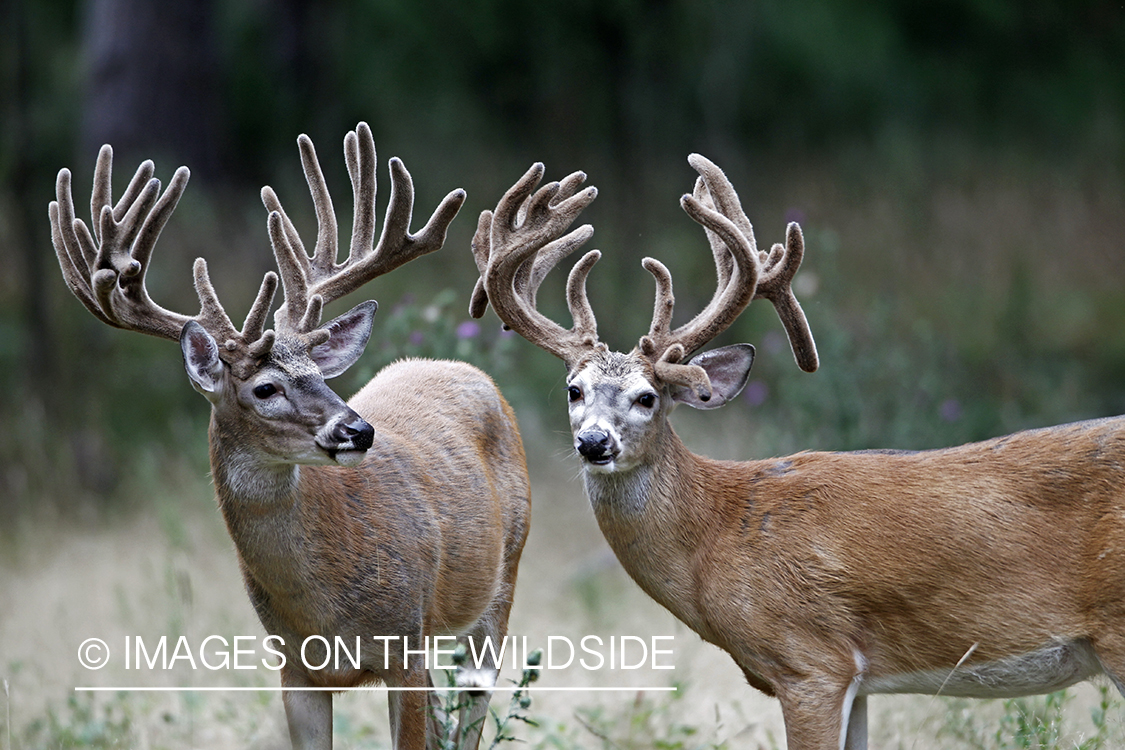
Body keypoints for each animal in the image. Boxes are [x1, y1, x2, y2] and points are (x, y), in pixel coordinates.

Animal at [48, 123, 531, 750]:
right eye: (265, 388)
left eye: (321, 376)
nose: (358, 429)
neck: (322, 608)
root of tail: (466, 370)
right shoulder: (294, 670)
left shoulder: (406, 645)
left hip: (502, 580)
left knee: (472, 708)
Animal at [465, 155, 1125, 746]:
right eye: (573, 391)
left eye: (648, 397)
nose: (594, 441)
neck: (715, 535)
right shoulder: (858, 681)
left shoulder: (810, 661)